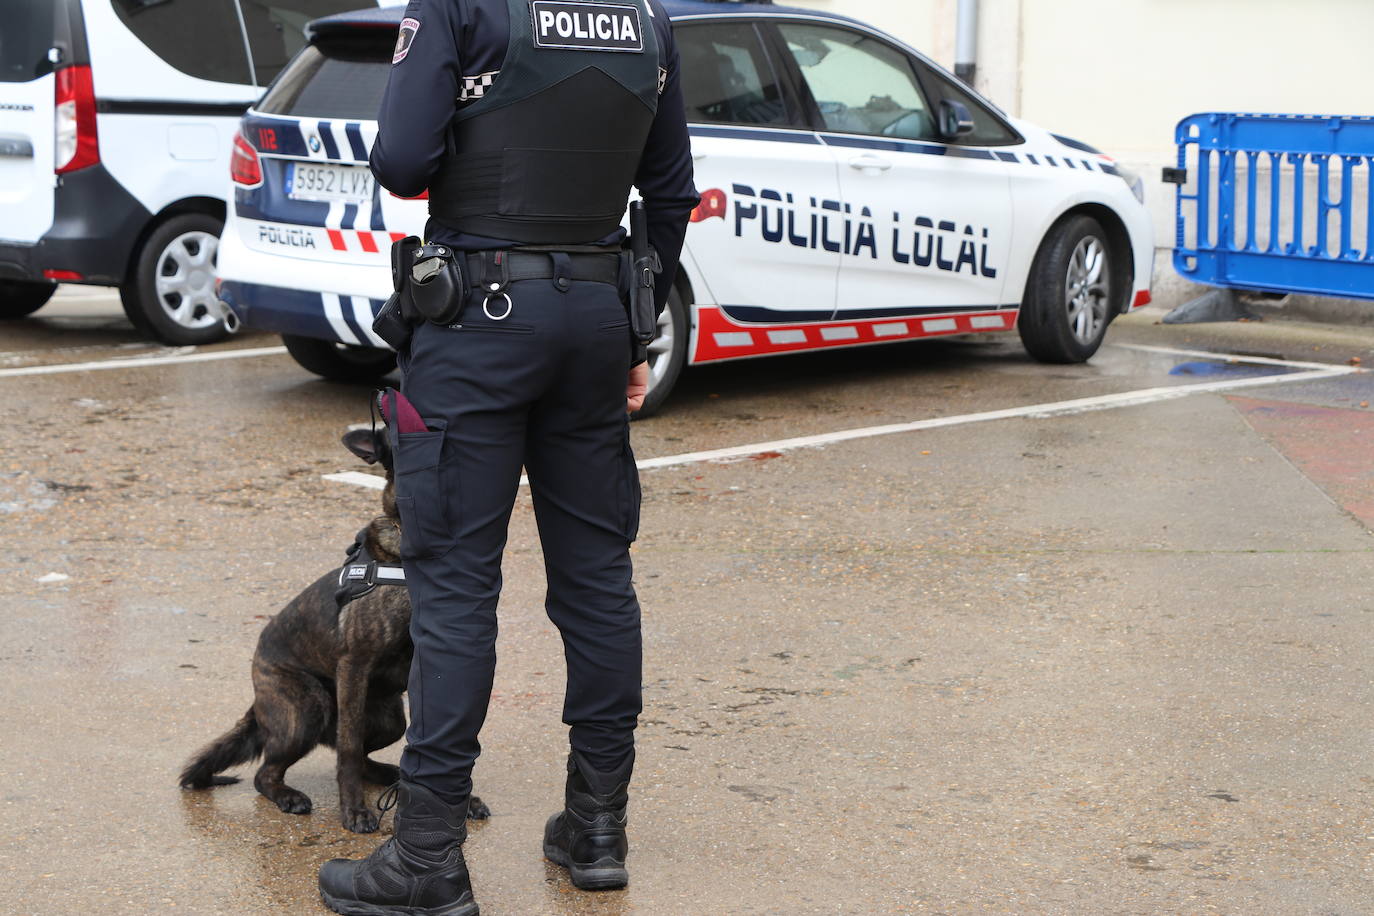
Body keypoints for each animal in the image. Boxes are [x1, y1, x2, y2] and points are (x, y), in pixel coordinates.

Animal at [177, 425, 489, 834]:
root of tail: (258, 697)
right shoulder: (355, 665)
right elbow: (350, 750)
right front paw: (354, 810)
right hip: (310, 708)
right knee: (273, 771)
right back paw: (290, 796)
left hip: (389, 719)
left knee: (361, 752)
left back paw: (392, 775)